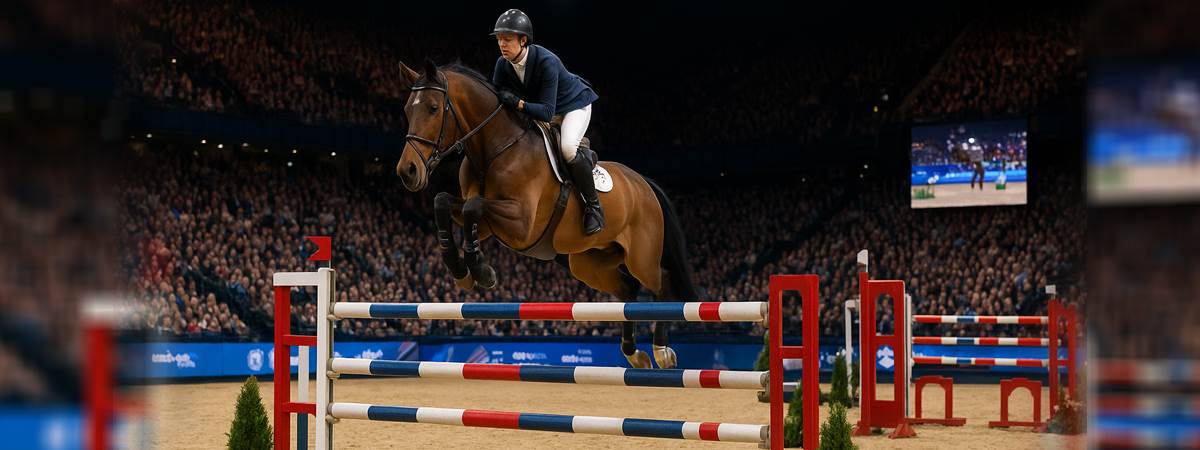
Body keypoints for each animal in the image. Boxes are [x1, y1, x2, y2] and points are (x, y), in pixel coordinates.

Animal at [394, 59, 698, 369]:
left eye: (433, 108)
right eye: (407, 109)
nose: (408, 171)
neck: (494, 149)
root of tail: (645, 183)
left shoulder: (520, 224)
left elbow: (473, 207)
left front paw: (480, 270)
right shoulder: (487, 224)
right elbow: (444, 203)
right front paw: (461, 269)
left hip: (640, 256)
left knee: (660, 284)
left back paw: (661, 351)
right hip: (589, 263)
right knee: (628, 291)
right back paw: (634, 354)